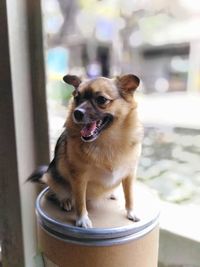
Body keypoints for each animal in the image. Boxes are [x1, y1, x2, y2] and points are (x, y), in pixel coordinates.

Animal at [28, 73, 144, 228]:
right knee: (53, 192)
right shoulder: (79, 178)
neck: (107, 141)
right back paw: (65, 200)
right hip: (53, 178)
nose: (77, 112)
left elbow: (129, 195)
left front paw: (131, 212)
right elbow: (80, 200)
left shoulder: (129, 173)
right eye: (77, 97)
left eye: (101, 99)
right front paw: (82, 219)